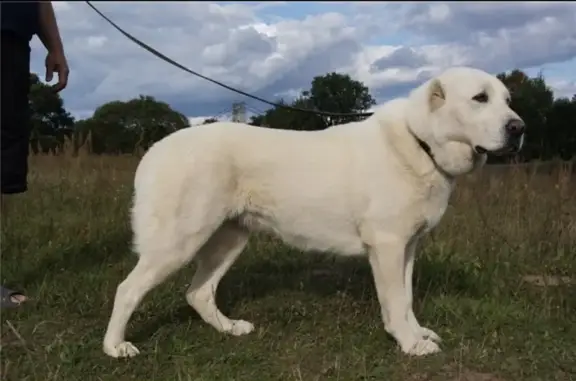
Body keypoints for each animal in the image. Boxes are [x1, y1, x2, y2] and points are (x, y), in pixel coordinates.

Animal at [101, 67, 524, 358]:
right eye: (479, 98)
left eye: (507, 100)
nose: (519, 127)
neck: (421, 141)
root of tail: (155, 150)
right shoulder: (387, 245)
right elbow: (395, 301)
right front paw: (408, 344)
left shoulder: (408, 246)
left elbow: (406, 298)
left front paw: (417, 334)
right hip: (180, 239)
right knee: (127, 289)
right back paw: (115, 347)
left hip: (230, 238)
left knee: (198, 292)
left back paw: (230, 328)